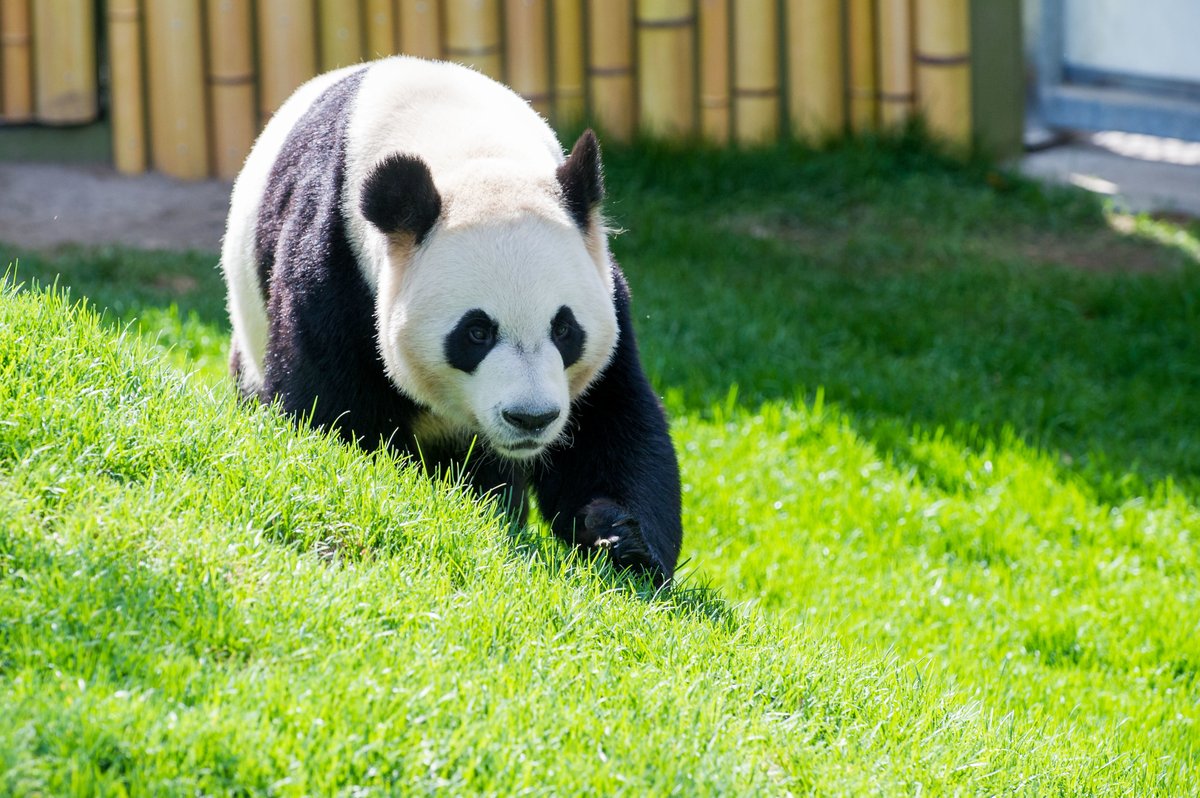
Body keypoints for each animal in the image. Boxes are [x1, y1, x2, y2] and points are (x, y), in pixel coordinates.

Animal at [220, 56, 682, 582]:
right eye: (476, 332)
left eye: (564, 329)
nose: (531, 418)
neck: (468, 147)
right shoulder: (336, 263)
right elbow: (329, 410)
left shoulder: (601, 279)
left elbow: (614, 423)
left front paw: (621, 540)